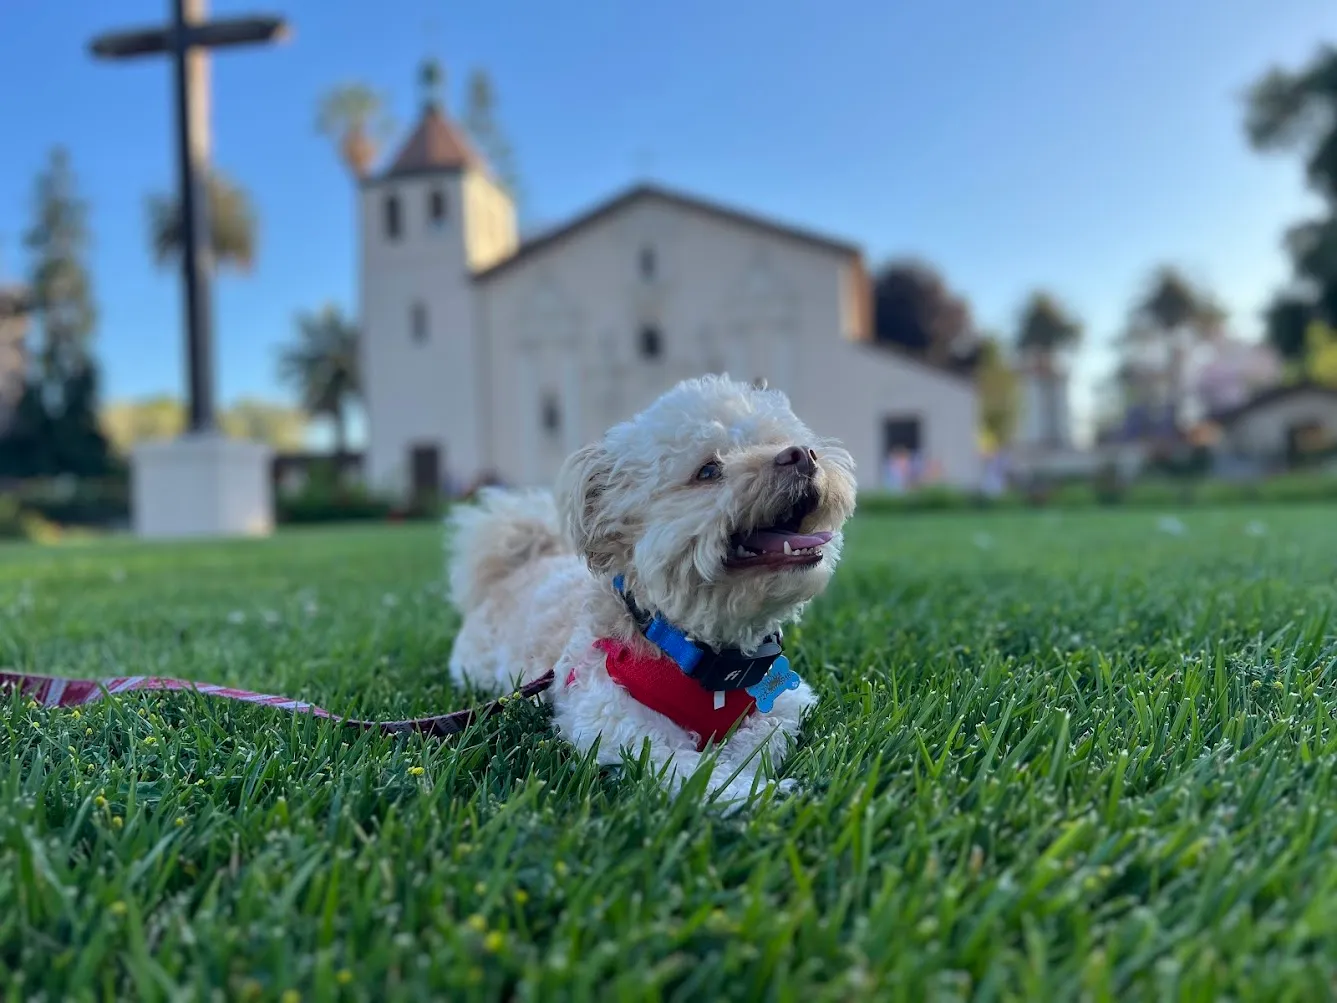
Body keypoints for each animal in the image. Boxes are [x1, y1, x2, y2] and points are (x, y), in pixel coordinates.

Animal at [443, 374, 850, 807]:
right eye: (708, 470)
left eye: (779, 439)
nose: (802, 454)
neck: (706, 658)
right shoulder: (615, 723)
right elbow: (689, 768)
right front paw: (748, 792)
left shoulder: (784, 704)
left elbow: (760, 739)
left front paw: (745, 766)